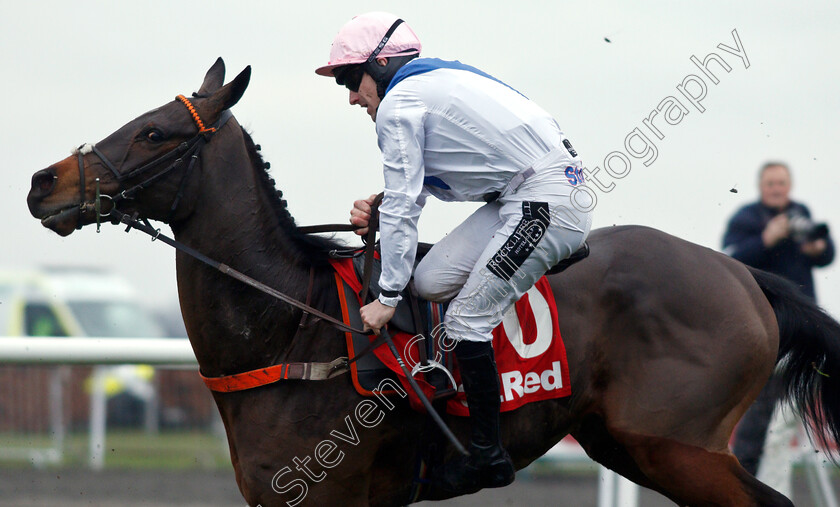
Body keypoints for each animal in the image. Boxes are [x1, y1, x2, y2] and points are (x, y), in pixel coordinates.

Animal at [26, 57, 840, 506]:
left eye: (154, 133)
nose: (42, 183)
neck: (296, 329)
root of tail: (742, 272)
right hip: (629, 441)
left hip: (679, 445)